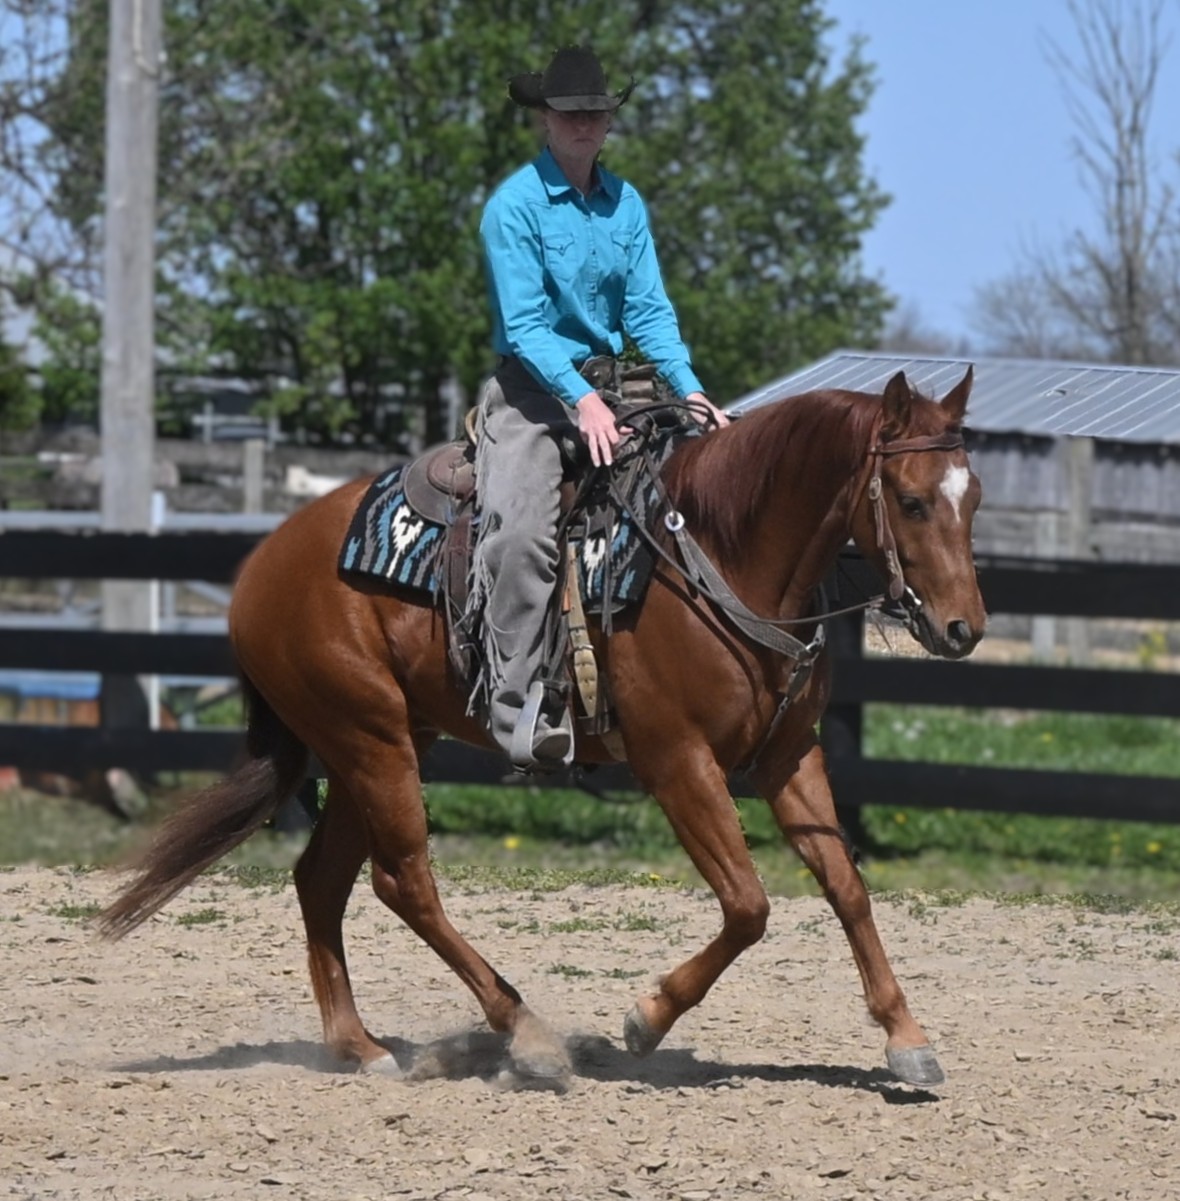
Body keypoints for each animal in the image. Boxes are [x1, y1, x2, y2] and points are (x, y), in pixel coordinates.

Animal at [98, 367, 985, 1088]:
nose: (963, 628)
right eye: (911, 500)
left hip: (374, 746)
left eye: (971, 498)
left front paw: (907, 1037)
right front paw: (644, 1018)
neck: (718, 552)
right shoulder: (677, 762)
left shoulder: (788, 758)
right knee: (403, 880)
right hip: (370, 740)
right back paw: (524, 1035)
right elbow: (747, 904)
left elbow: (847, 886)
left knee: (323, 879)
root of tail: (261, 566)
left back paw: (360, 1046)